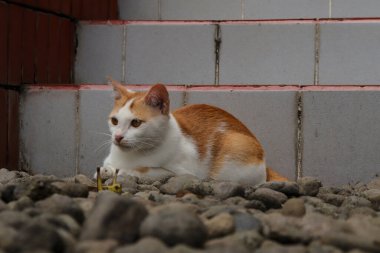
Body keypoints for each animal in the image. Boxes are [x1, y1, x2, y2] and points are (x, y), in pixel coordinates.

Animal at [99, 79, 286, 186]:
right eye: (114, 121)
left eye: (136, 123)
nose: (118, 137)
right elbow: (105, 167)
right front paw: (106, 171)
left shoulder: (183, 173)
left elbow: (144, 170)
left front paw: (124, 172)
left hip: (234, 145)